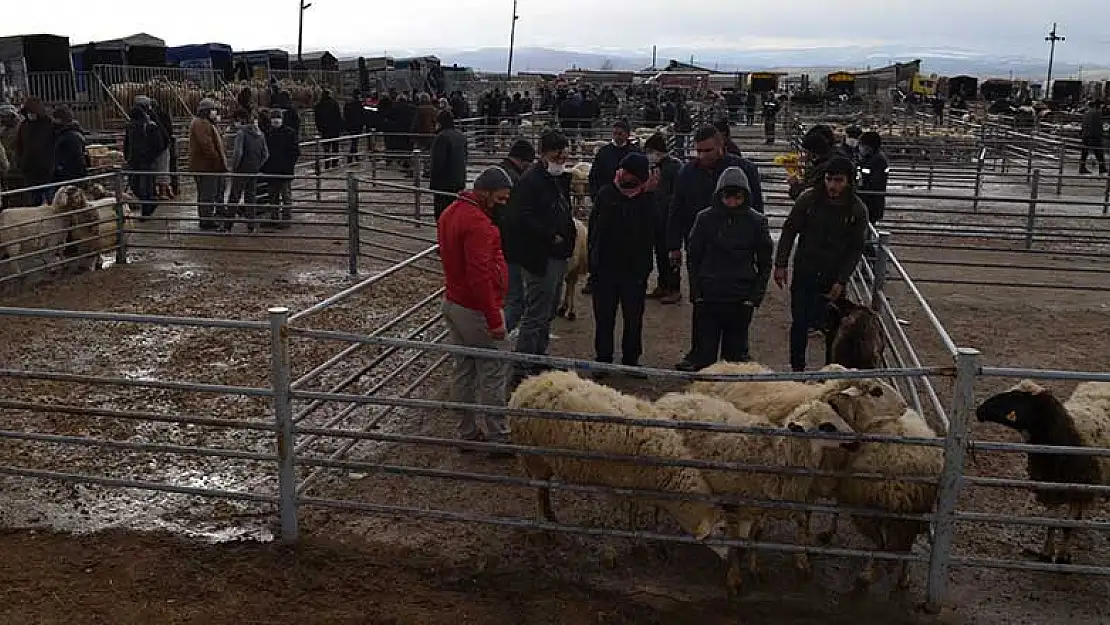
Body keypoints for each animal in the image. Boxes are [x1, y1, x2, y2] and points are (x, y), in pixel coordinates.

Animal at [506, 375, 728, 546]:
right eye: (722, 529)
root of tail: (525, 386)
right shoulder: (630, 483)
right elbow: (633, 509)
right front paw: (634, 536)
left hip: (545, 459)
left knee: (544, 489)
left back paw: (551, 516)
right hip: (533, 456)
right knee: (538, 492)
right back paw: (543, 527)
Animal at [657, 390, 856, 595]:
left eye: (838, 415)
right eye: (827, 426)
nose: (856, 442)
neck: (778, 456)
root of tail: (668, 398)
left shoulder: (761, 507)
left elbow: (756, 536)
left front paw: (755, 570)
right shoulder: (733, 504)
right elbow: (735, 543)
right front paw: (734, 579)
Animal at [976, 381, 1105, 568]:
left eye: (1015, 396)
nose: (979, 410)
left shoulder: (1079, 489)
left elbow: (1067, 526)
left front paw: (1062, 556)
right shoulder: (1049, 486)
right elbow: (1051, 524)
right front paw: (1046, 553)